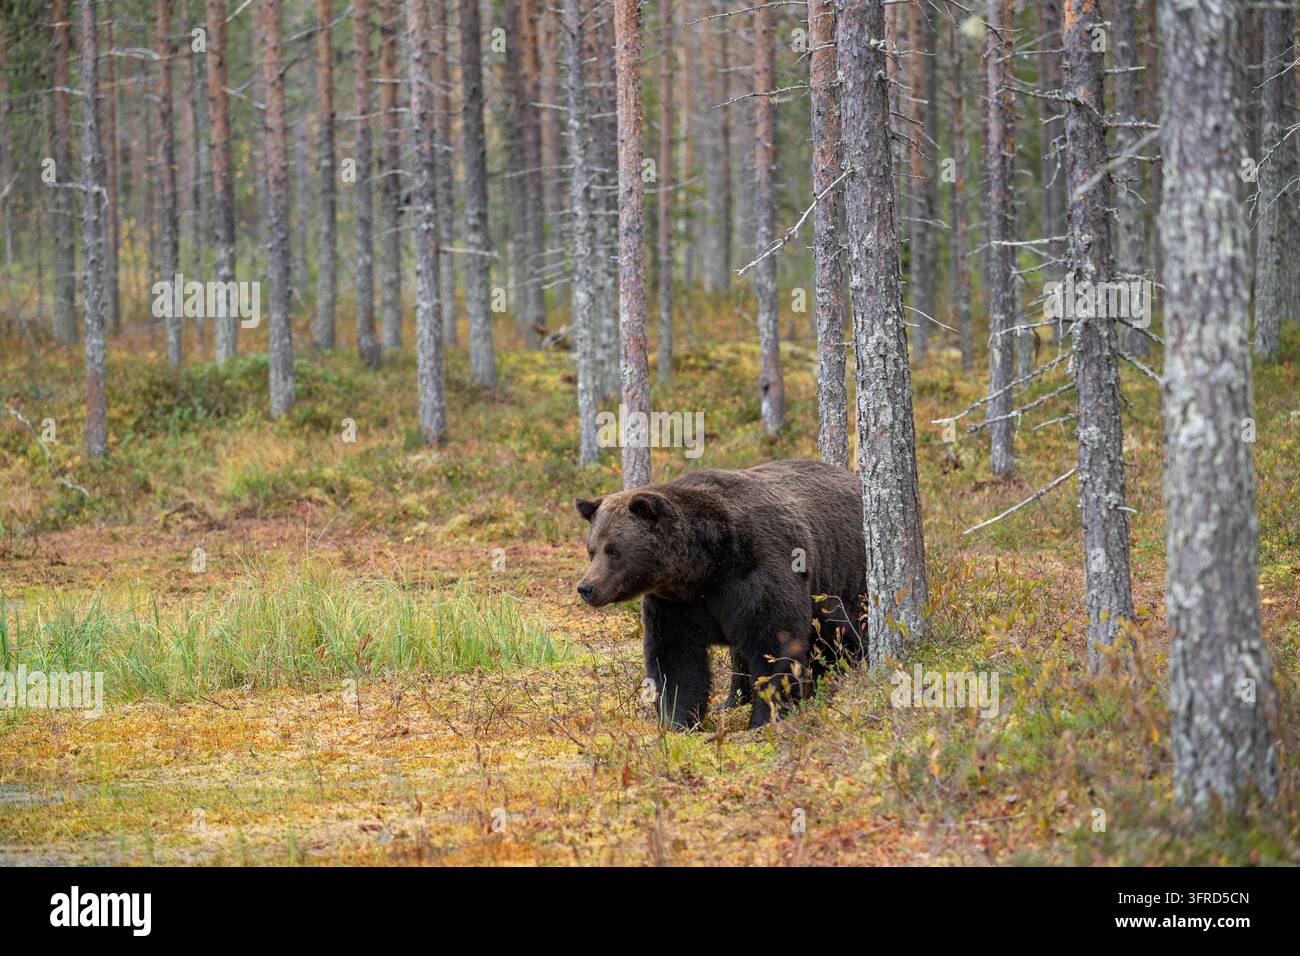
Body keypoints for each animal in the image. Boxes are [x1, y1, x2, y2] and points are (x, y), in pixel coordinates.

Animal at [575, 459, 867, 730]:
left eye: (613, 550)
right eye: (592, 549)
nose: (586, 587)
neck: (704, 568)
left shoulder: (757, 572)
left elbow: (774, 644)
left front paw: (764, 719)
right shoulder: (674, 603)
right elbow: (676, 659)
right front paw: (677, 721)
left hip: (844, 580)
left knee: (845, 632)